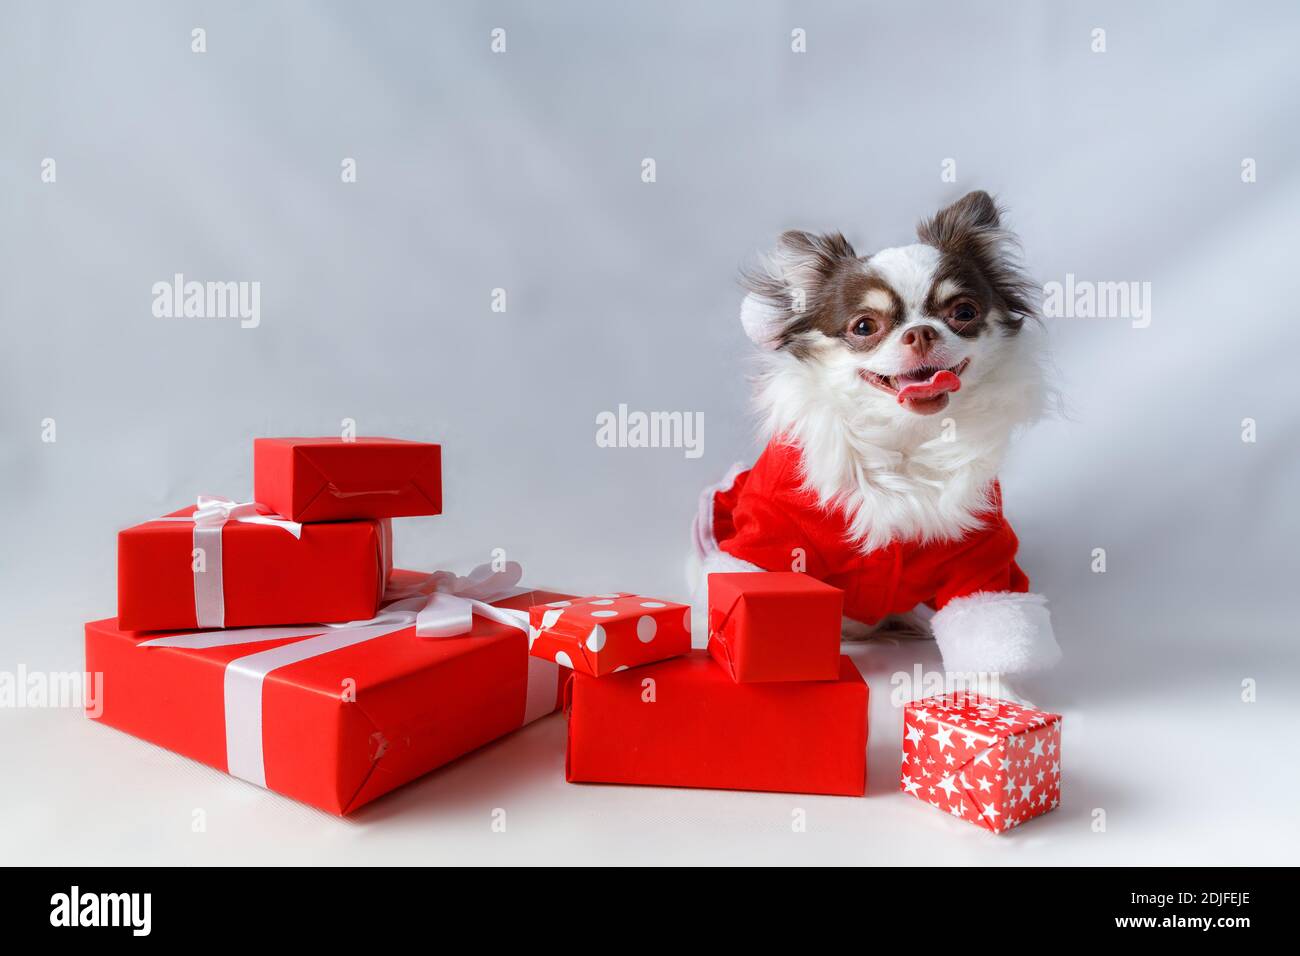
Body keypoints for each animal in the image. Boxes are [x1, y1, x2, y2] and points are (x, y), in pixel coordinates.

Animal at [696, 191, 1060, 691]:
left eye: (964, 313)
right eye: (864, 326)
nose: (921, 331)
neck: (903, 439)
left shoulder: (980, 553)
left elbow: (987, 625)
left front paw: (995, 692)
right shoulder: (771, 534)